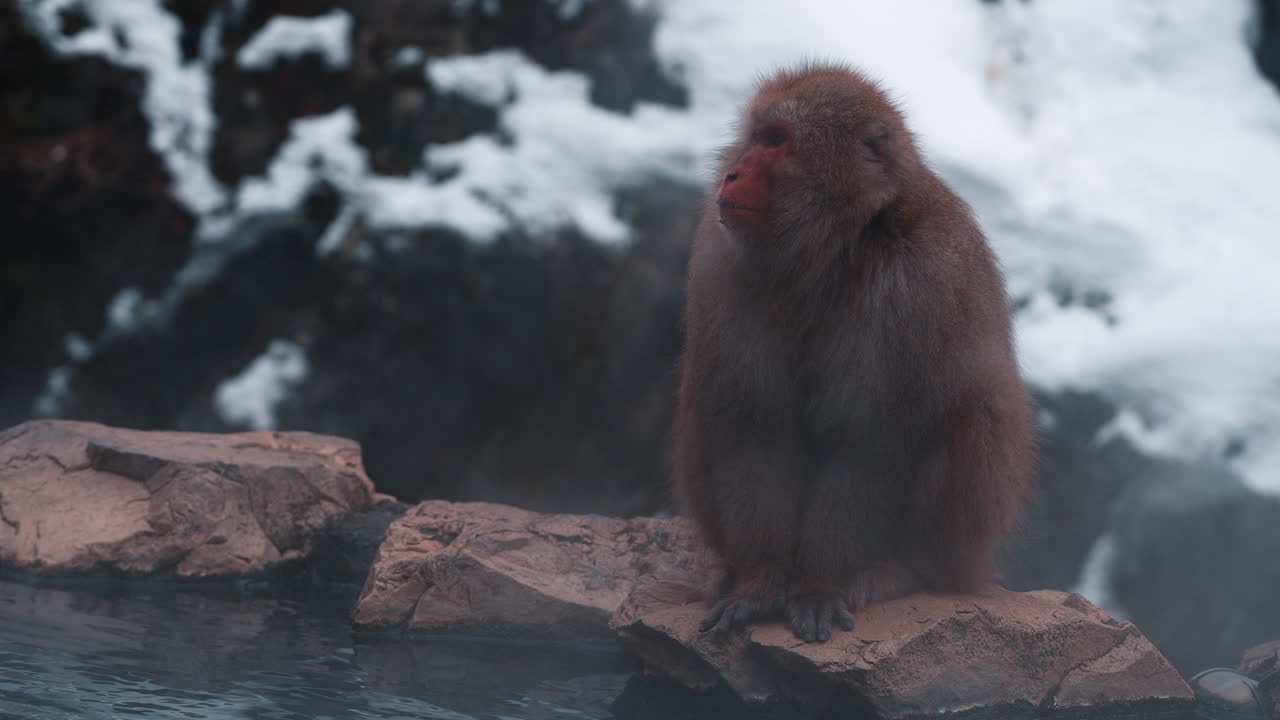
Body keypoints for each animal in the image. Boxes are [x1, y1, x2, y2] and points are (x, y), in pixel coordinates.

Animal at [670, 62, 1035, 644]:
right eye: (754, 136)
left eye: (776, 140)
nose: (731, 174)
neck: (835, 248)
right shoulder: (720, 260)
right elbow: (758, 427)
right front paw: (760, 583)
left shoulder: (917, 285)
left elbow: (868, 444)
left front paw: (820, 586)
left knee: (977, 407)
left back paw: (903, 571)